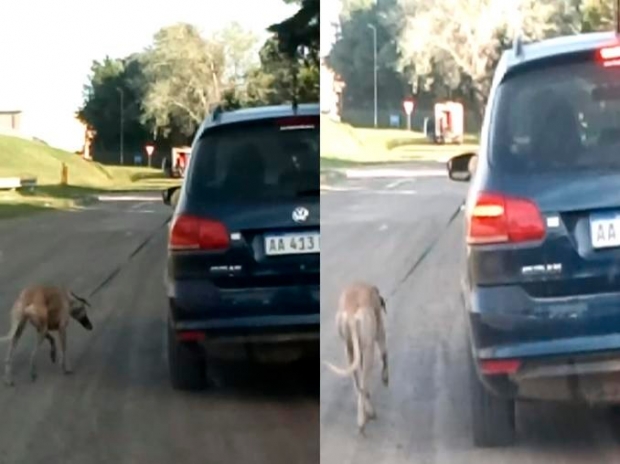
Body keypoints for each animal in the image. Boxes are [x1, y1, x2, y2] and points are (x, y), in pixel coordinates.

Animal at [324, 282, 388, 436]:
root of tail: (351, 313)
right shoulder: (379, 330)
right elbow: (385, 354)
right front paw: (385, 378)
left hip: (349, 348)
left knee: (358, 385)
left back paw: (365, 411)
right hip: (369, 348)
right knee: (363, 385)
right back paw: (364, 418)